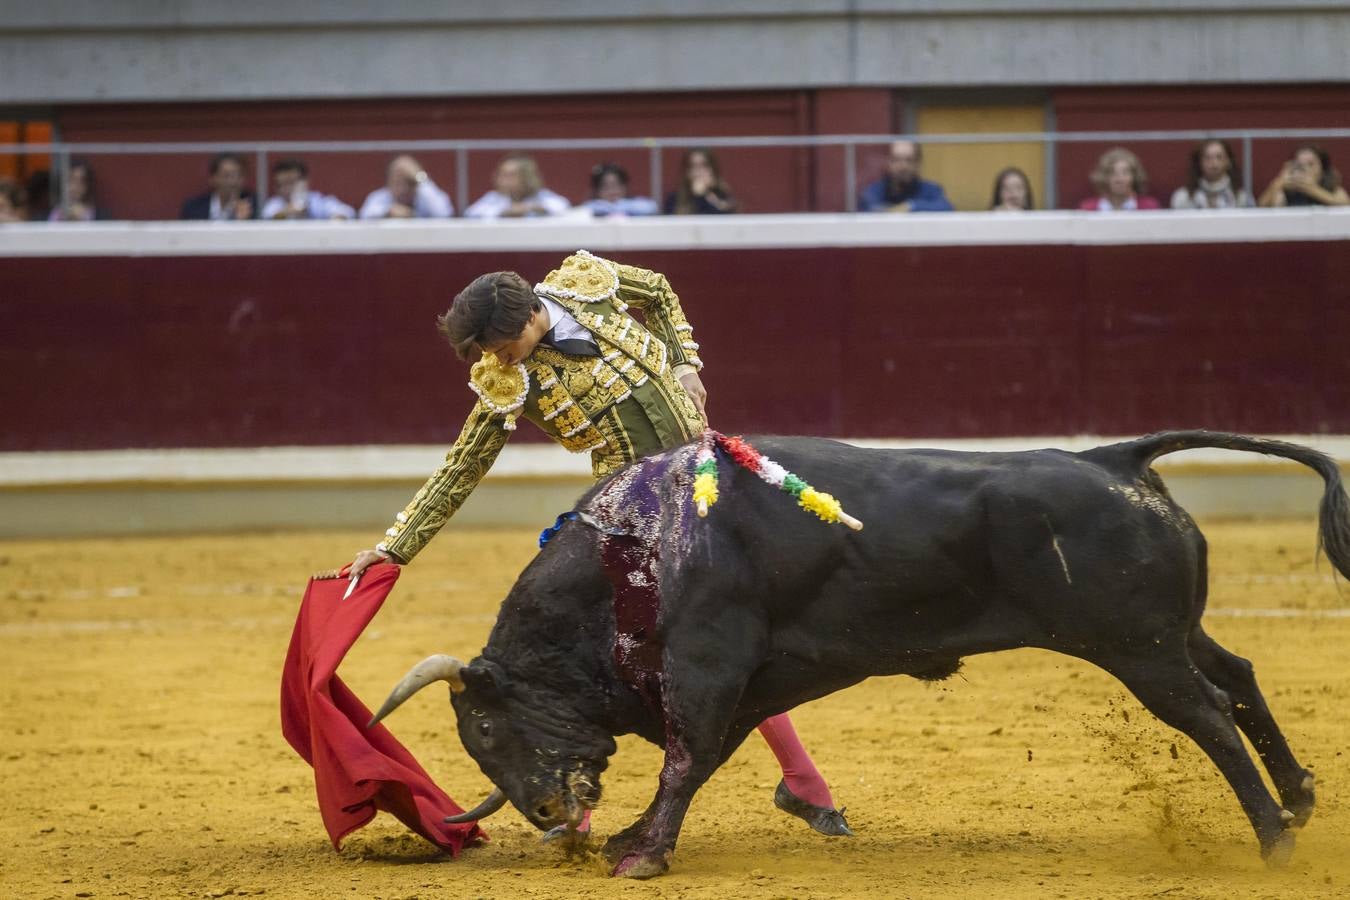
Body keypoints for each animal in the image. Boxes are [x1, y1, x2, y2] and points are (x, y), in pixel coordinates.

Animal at [369, 431, 1350, 874]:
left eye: (484, 728)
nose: (544, 813)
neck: (629, 555)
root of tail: (1117, 458)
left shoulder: (709, 663)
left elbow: (686, 757)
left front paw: (643, 855)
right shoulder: (752, 682)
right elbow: (701, 758)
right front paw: (633, 836)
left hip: (1136, 647)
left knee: (1210, 717)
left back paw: (1273, 841)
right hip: (1169, 634)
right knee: (1238, 677)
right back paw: (1299, 801)